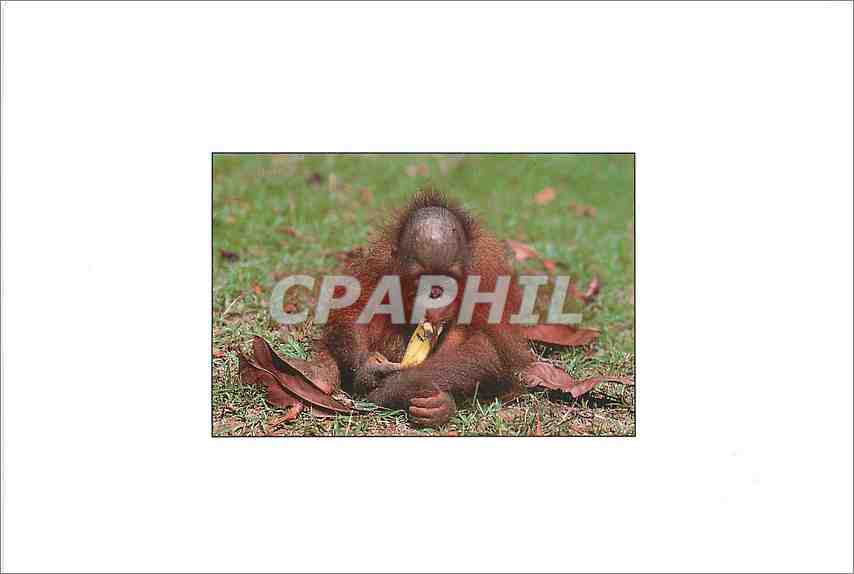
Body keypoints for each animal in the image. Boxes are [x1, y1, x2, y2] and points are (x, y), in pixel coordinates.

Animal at [324, 189, 533, 427]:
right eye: (422, 278)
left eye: (447, 281)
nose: (434, 296)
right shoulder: (377, 266)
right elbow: (353, 315)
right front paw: (370, 369)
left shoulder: (489, 277)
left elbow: (490, 349)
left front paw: (394, 389)